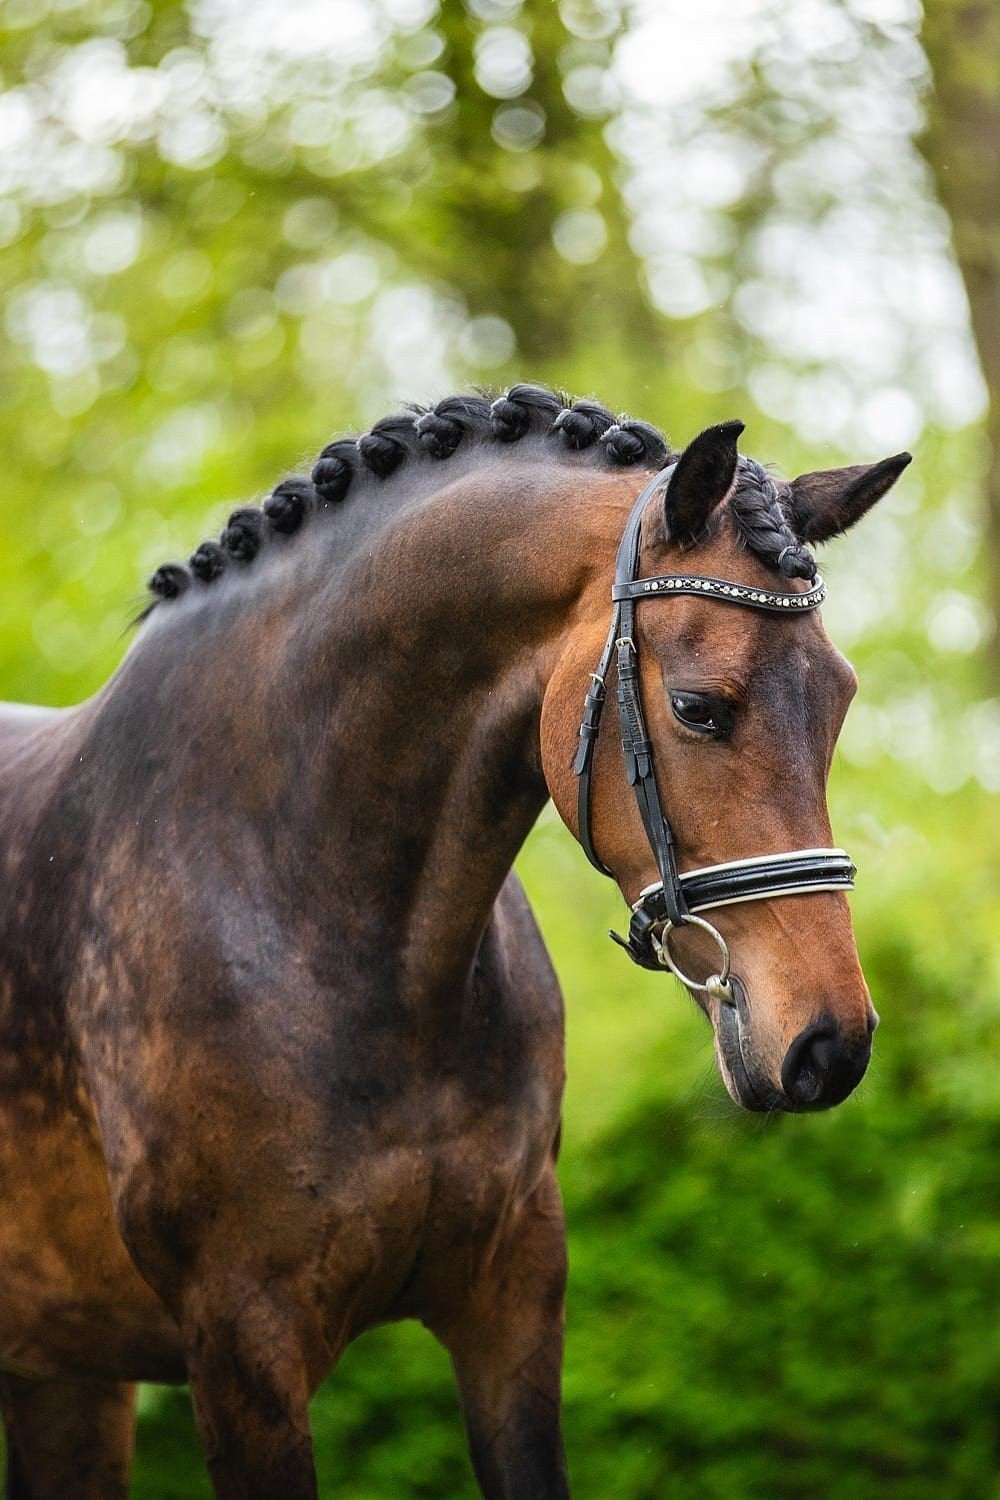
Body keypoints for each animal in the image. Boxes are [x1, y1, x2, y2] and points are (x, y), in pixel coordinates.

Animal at [0, 384, 909, 1498]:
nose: (831, 1044)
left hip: (66, 1368)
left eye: (840, 699)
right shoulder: (241, 1342)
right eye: (699, 707)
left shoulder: (511, 1297)